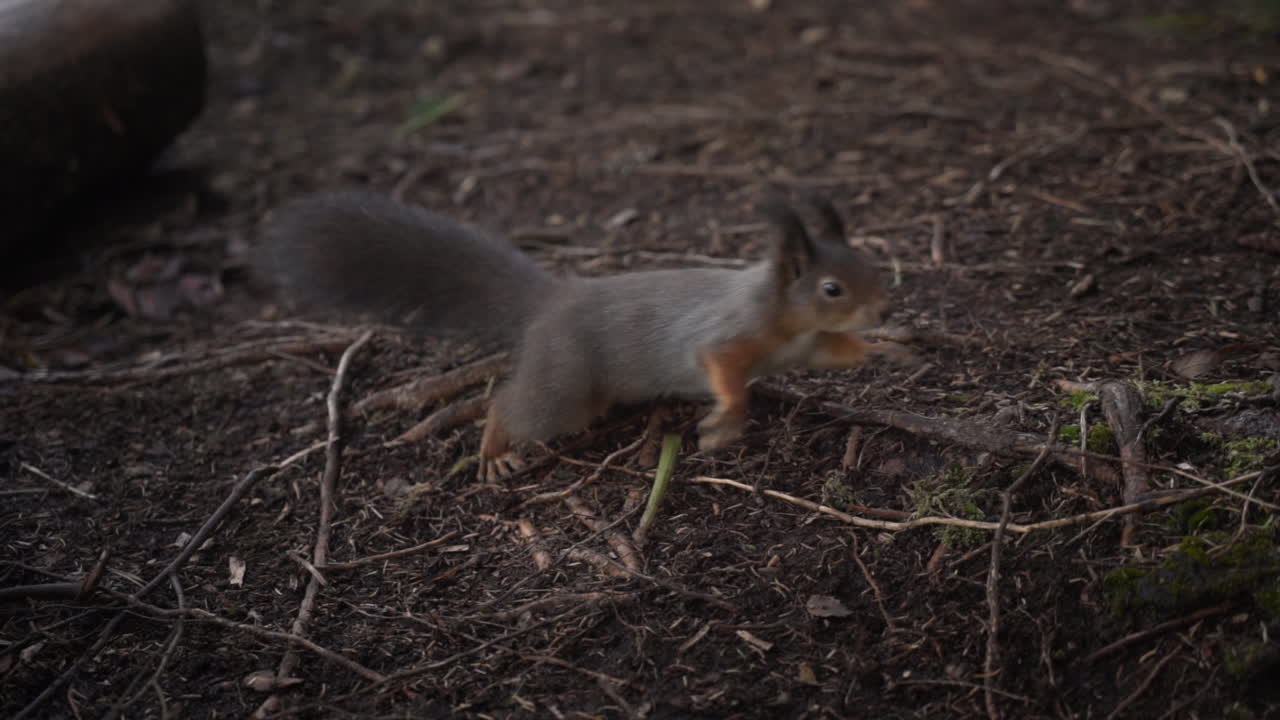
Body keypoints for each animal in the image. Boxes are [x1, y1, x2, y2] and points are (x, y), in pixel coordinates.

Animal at [257, 191, 902, 480]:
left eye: (870, 265)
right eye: (832, 289)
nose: (884, 309)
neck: (783, 312)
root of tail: (555, 300)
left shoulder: (809, 345)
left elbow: (835, 355)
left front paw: (884, 349)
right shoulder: (727, 334)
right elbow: (719, 368)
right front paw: (727, 418)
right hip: (564, 387)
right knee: (508, 404)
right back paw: (494, 452)